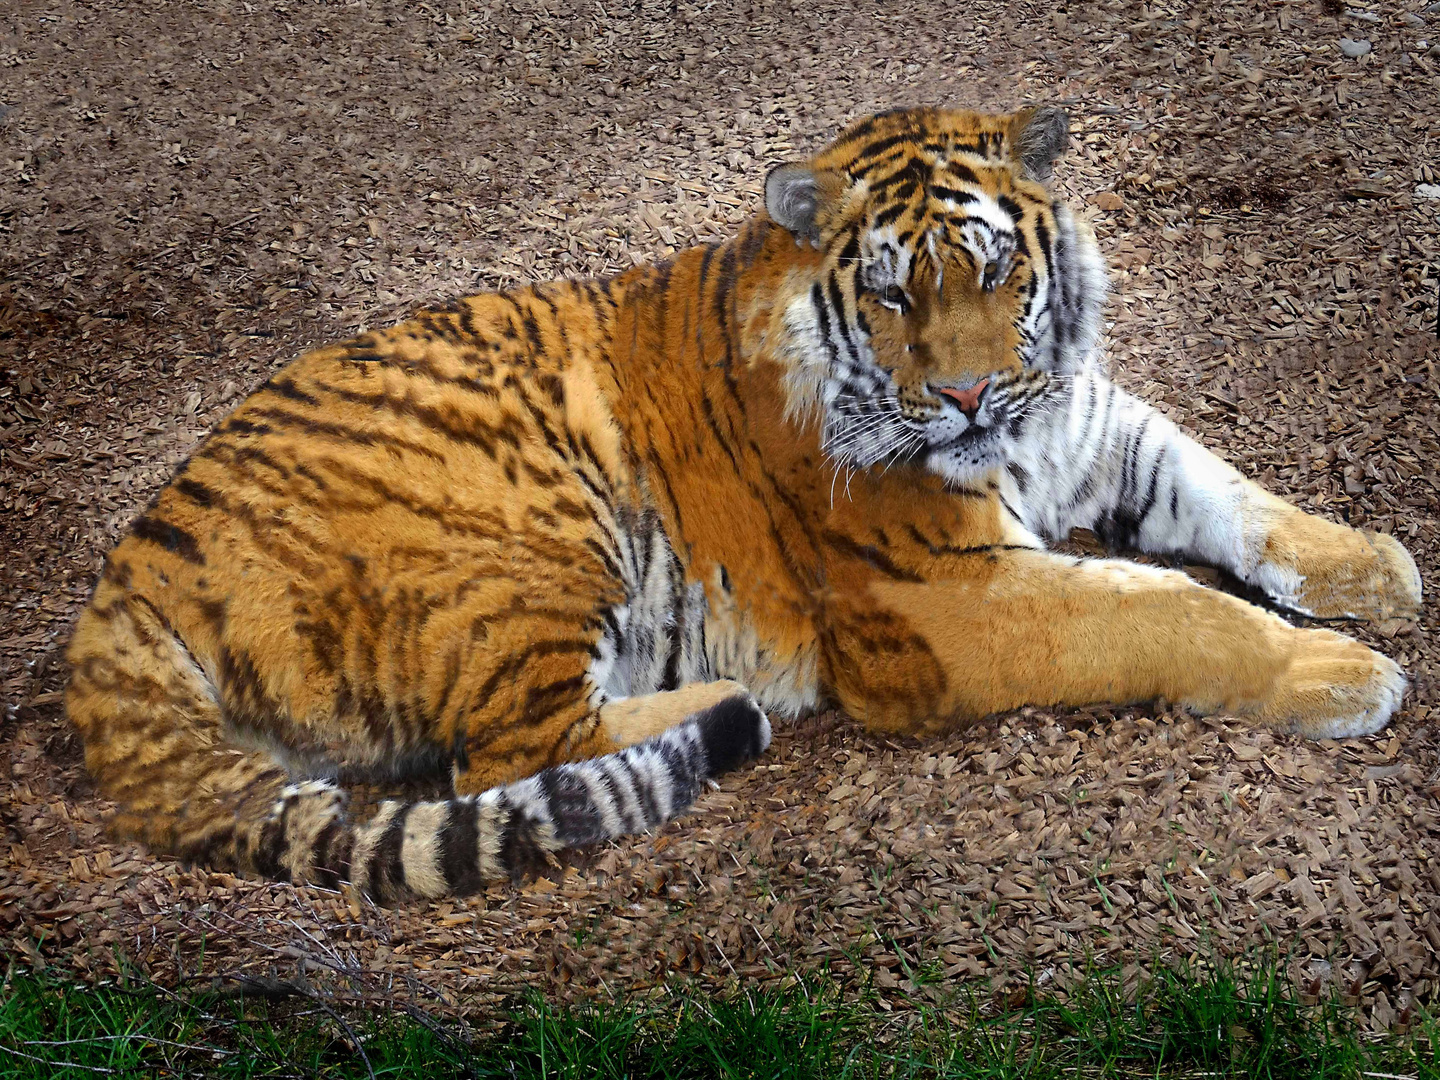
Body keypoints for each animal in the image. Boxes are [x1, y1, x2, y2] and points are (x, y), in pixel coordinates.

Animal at [64, 108, 1416, 904]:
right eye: (891, 296)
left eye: (992, 272)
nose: (970, 395)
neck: (1026, 432)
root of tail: (127, 577)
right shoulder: (944, 601)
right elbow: (1165, 606)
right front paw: (1342, 675)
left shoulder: (1096, 429)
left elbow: (1231, 492)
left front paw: (1373, 569)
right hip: (534, 526)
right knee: (503, 756)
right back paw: (730, 702)